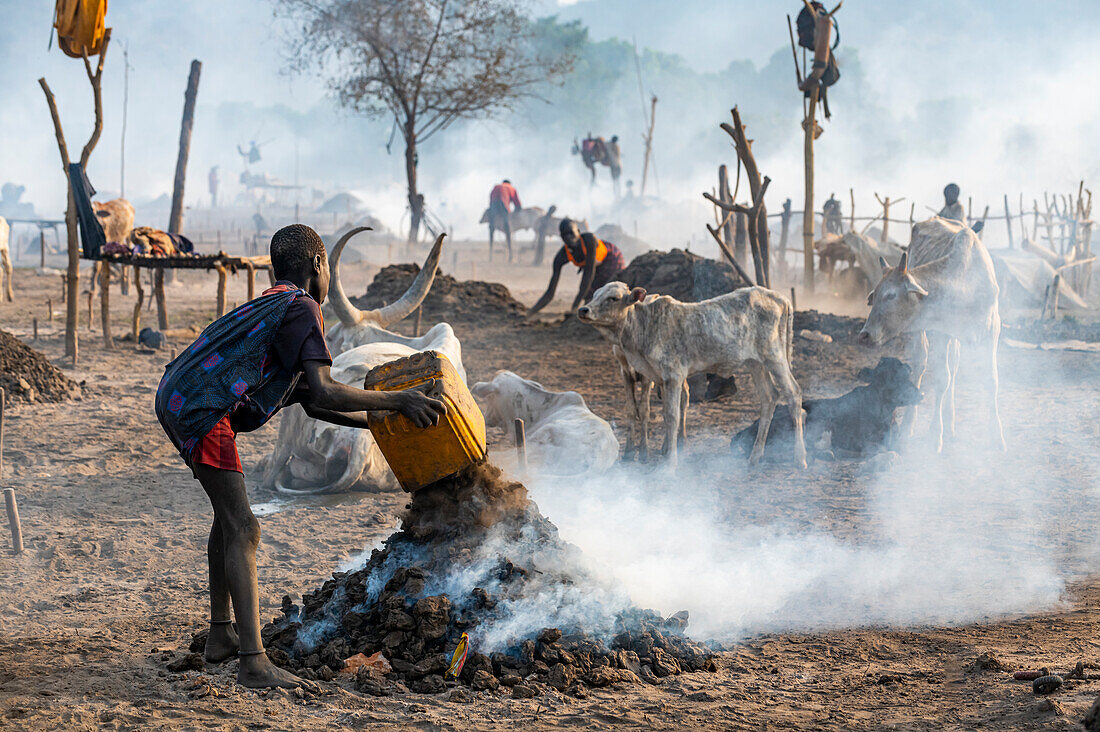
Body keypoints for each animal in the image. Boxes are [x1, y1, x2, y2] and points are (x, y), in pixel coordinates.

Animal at [576, 279, 809, 468]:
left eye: (613, 298)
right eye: (596, 294)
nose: (583, 310)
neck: (645, 326)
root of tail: (779, 298)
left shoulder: (673, 376)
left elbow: (672, 416)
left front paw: (669, 463)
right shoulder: (655, 378)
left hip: (775, 356)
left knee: (793, 393)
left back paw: (800, 458)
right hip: (755, 363)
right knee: (769, 397)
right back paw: (755, 457)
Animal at [734, 358, 924, 460]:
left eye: (907, 375)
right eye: (888, 378)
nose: (920, 395)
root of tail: (751, 426)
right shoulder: (861, 441)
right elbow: (881, 449)